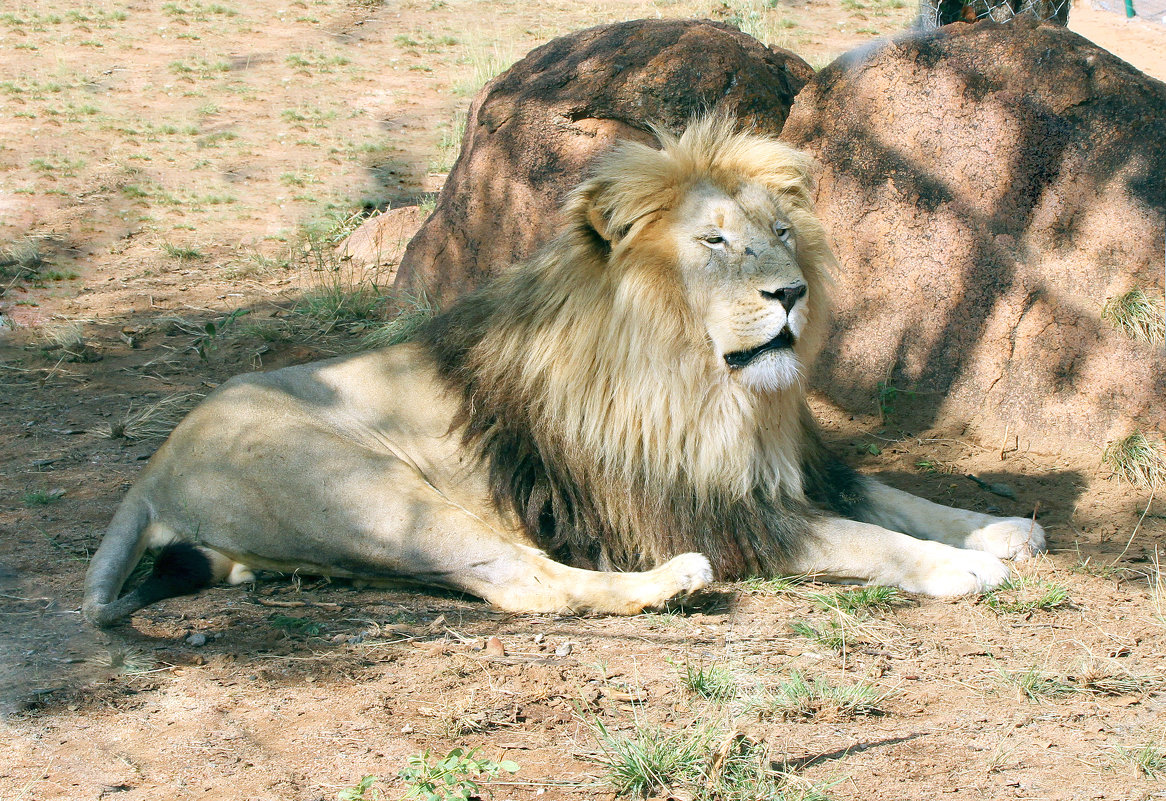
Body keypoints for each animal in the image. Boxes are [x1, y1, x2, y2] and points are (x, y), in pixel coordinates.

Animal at [82, 117, 1049, 624]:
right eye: (714, 241)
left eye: (780, 231)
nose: (792, 291)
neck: (716, 386)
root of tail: (154, 467)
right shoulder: (704, 508)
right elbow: (866, 536)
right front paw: (959, 567)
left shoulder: (795, 467)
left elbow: (898, 498)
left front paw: (1000, 529)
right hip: (369, 488)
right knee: (524, 582)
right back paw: (672, 581)